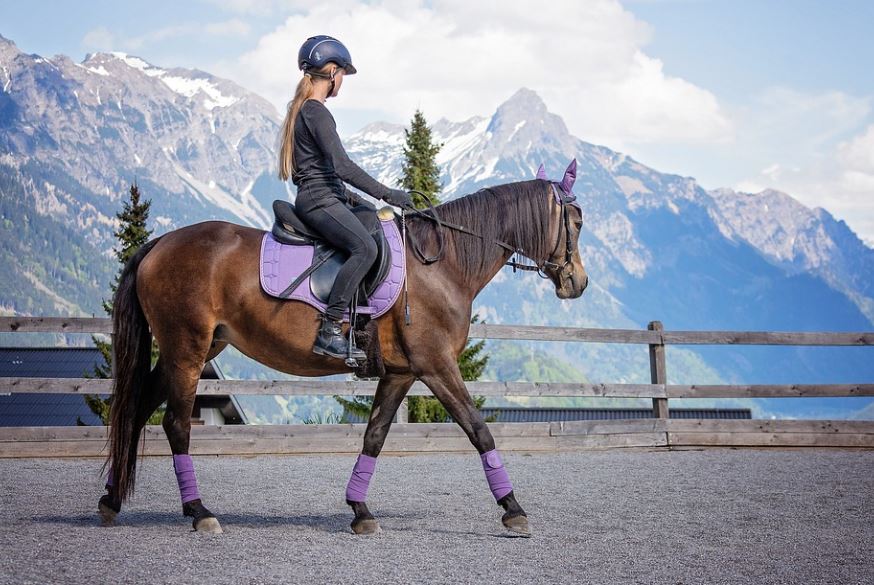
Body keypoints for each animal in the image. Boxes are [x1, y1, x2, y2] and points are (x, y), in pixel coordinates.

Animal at [99, 160, 588, 536]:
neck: (441, 264)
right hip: (188, 349)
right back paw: (199, 513)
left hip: (192, 349)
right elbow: (478, 428)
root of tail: (160, 243)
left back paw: (112, 500)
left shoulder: (402, 373)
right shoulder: (437, 366)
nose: (578, 283)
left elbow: (375, 436)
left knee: (137, 409)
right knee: (176, 425)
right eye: (577, 222)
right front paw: (513, 509)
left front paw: (360, 512)